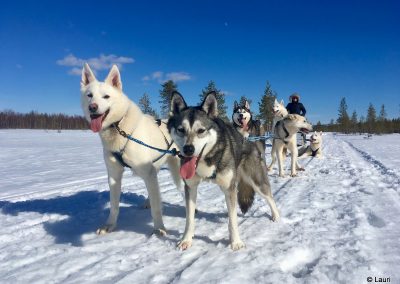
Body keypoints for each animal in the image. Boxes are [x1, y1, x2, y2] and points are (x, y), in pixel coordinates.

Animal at [80, 63, 180, 236]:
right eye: (89, 95)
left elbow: (156, 208)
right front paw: (110, 225)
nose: (93, 107)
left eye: (106, 96)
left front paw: (159, 228)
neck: (120, 127)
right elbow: (114, 206)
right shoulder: (114, 175)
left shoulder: (147, 172)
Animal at [166, 91, 278, 251]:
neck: (208, 158)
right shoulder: (191, 188)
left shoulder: (229, 189)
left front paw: (236, 242)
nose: (188, 149)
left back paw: (277, 217)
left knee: (270, 197)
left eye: (201, 130)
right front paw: (186, 240)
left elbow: (233, 220)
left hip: (257, 181)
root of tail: (249, 141)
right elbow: (190, 218)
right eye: (181, 130)